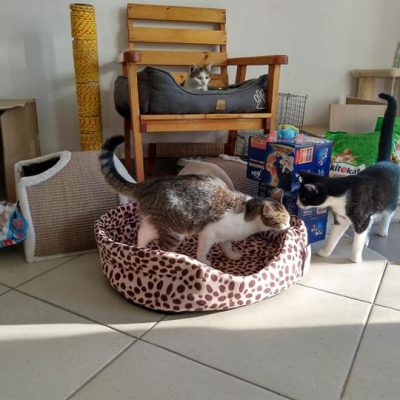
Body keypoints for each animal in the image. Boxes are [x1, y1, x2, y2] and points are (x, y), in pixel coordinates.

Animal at [100, 136, 290, 265]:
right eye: (282, 220)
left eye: (288, 218)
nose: (289, 226)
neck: (248, 213)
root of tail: (148, 184)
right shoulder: (208, 233)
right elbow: (202, 250)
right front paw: (204, 262)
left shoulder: (226, 236)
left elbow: (227, 246)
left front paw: (232, 255)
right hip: (174, 231)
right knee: (162, 248)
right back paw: (174, 258)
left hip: (155, 223)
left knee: (142, 234)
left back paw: (139, 250)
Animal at [297, 93, 399, 263]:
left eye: (304, 198)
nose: (298, 204)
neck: (339, 197)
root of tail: (386, 161)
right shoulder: (341, 219)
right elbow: (333, 237)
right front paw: (325, 252)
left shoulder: (360, 216)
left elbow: (358, 237)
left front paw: (355, 258)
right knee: (371, 221)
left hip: (389, 199)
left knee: (388, 213)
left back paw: (382, 230)